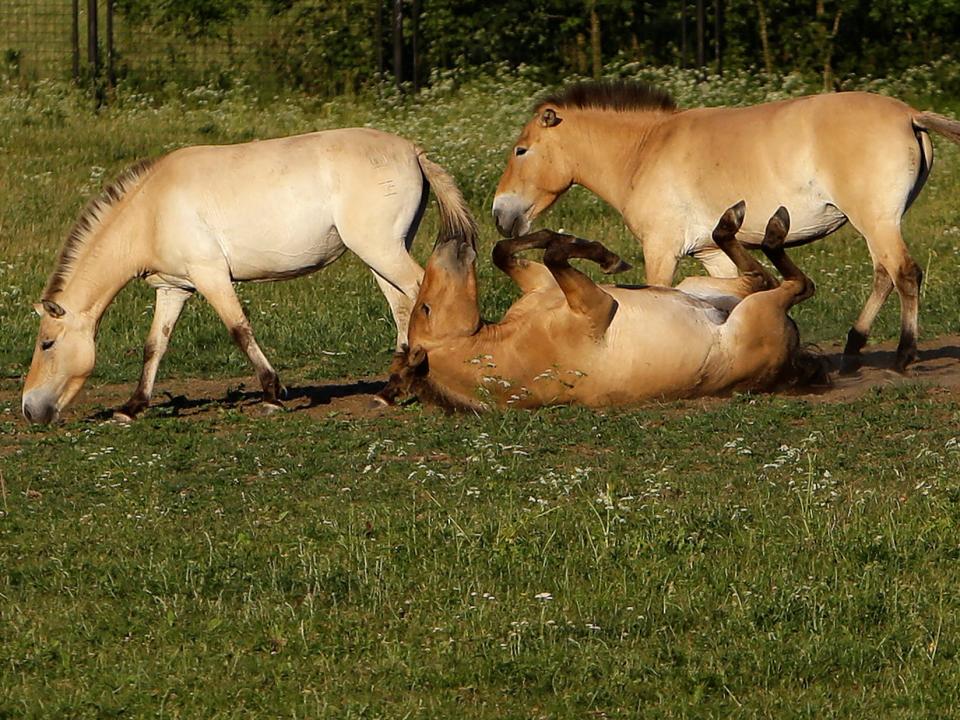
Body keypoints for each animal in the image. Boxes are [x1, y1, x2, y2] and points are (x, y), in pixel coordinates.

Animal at [21, 129, 472, 424]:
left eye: (47, 344)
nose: (29, 409)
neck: (151, 210)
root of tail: (412, 151)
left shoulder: (211, 276)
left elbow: (239, 330)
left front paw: (273, 394)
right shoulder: (173, 288)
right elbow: (154, 347)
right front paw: (132, 407)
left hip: (382, 251)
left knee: (423, 299)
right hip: (380, 256)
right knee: (403, 309)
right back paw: (389, 392)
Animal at [378, 201, 820, 410]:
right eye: (425, 309)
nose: (450, 240)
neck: (507, 346)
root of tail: (793, 359)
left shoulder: (544, 286)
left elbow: (507, 250)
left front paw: (570, 240)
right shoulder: (597, 306)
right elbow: (555, 254)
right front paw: (607, 258)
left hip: (707, 286)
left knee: (758, 275)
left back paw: (733, 223)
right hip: (756, 311)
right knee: (795, 284)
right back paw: (770, 228)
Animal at [492, 80, 960, 372]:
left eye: (521, 150)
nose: (500, 214)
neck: (645, 151)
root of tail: (909, 114)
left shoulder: (661, 249)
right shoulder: (712, 254)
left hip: (876, 221)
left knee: (903, 273)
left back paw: (903, 356)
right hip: (877, 224)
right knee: (884, 274)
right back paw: (852, 350)